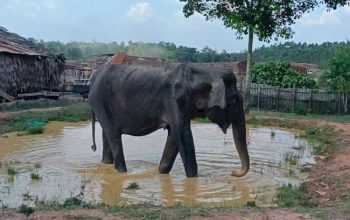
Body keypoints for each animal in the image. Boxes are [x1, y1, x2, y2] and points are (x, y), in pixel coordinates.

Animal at [88, 61, 249, 178]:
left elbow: (174, 136)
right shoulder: (174, 100)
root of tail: (94, 76)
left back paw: (107, 166)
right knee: (113, 135)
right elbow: (183, 134)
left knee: (107, 135)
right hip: (100, 101)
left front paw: (161, 172)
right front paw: (194, 179)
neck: (203, 71)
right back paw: (123, 172)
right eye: (234, 100)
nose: (233, 172)